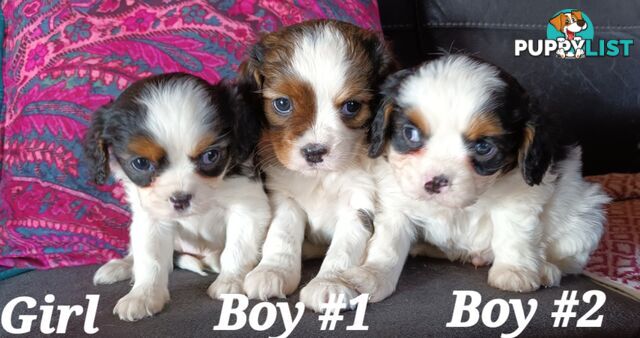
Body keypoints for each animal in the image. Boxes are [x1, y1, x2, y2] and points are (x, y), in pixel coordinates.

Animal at [83, 72, 270, 320]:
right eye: (141, 163)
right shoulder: (151, 217)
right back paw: (121, 266)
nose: (180, 199)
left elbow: (237, 249)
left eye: (211, 156)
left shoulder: (248, 208)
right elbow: (149, 257)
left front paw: (231, 282)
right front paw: (143, 295)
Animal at [240, 20, 396, 312]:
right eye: (282, 103)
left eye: (352, 106)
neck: (320, 177)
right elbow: (281, 234)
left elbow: (344, 248)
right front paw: (272, 270)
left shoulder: (359, 203)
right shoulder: (285, 197)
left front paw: (330, 284)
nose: (314, 152)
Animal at [342, 54, 608, 302]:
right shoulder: (397, 202)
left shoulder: (520, 197)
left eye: (483, 147)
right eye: (411, 133)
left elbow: (514, 233)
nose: (435, 182)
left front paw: (514, 271)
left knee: (569, 260)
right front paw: (373, 275)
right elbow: (389, 243)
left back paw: (545, 269)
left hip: (585, 216)